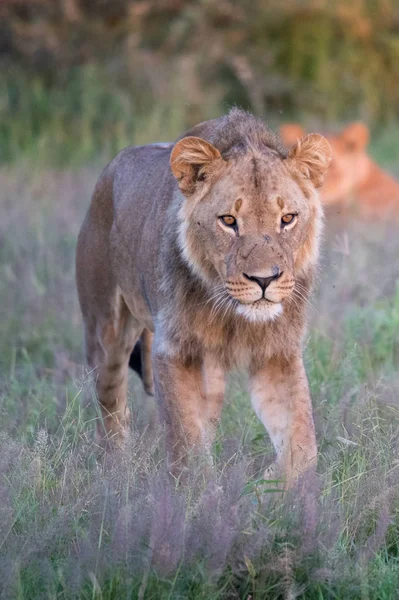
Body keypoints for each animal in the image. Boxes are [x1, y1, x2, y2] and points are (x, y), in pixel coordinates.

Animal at [76, 106, 332, 482]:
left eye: (287, 218)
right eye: (228, 220)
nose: (264, 280)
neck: (233, 314)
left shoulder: (278, 352)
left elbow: (302, 445)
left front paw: (269, 487)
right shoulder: (173, 350)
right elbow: (187, 443)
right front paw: (201, 493)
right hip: (105, 327)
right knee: (111, 407)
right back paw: (114, 472)